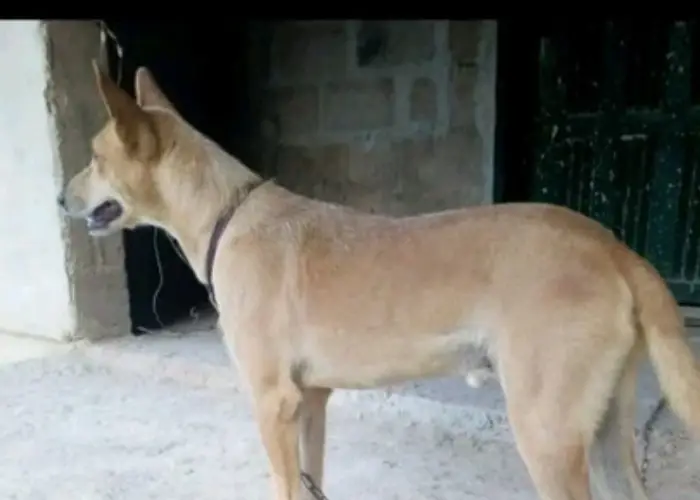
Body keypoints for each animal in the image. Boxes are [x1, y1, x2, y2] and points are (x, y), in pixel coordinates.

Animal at [58, 63, 700, 500]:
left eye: (94, 157)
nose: (60, 198)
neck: (226, 213)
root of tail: (613, 245)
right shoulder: (310, 401)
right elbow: (310, 482)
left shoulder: (272, 402)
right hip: (605, 431)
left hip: (546, 433)